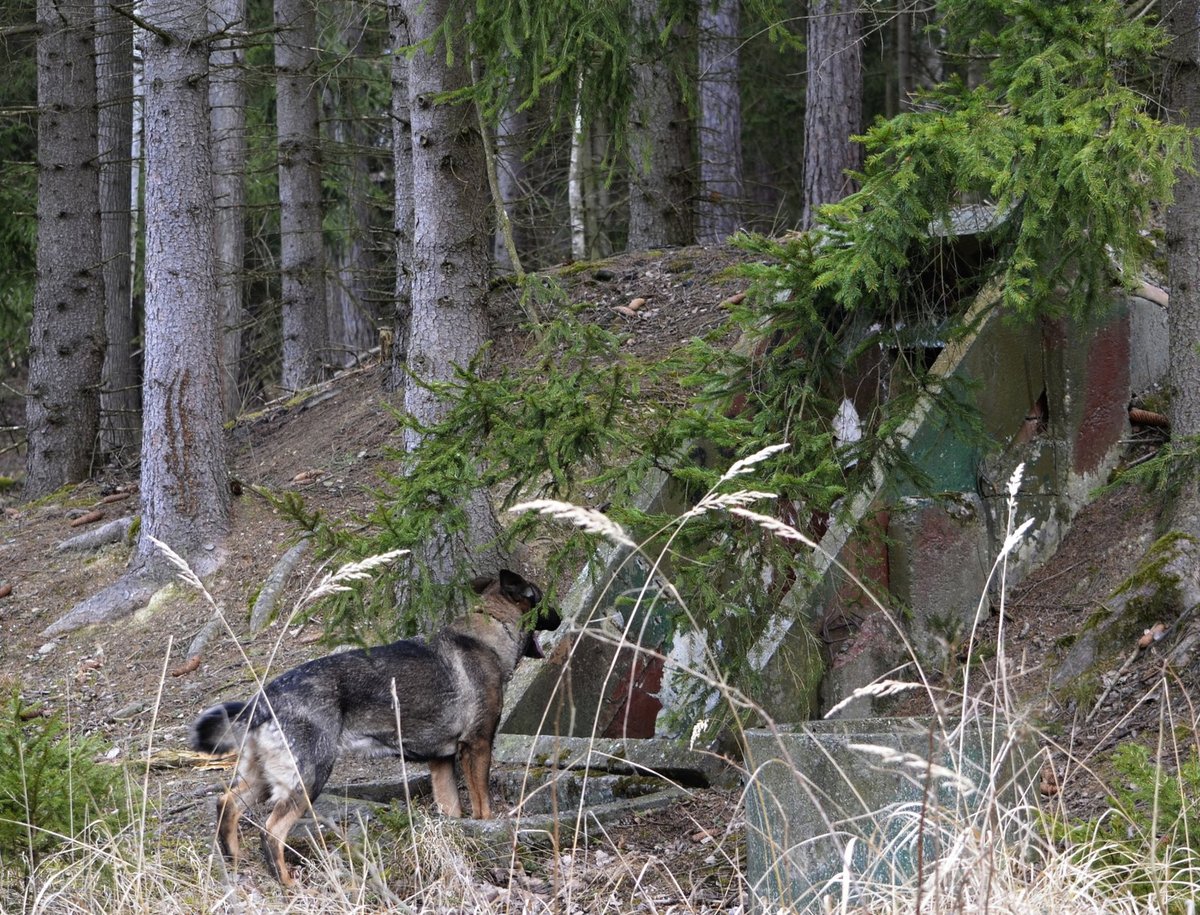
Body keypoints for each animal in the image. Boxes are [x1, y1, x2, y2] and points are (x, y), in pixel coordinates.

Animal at [189, 566, 559, 878]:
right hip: (309, 777)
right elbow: (483, 807)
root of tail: (266, 698)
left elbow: (451, 811)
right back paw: (286, 883)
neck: (489, 631)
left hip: (263, 777)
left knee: (227, 805)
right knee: (271, 832)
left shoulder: (441, 762)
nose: (560, 617)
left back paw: (234, 864)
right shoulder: (478, 745)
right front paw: (489, 831)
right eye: (544, 599)